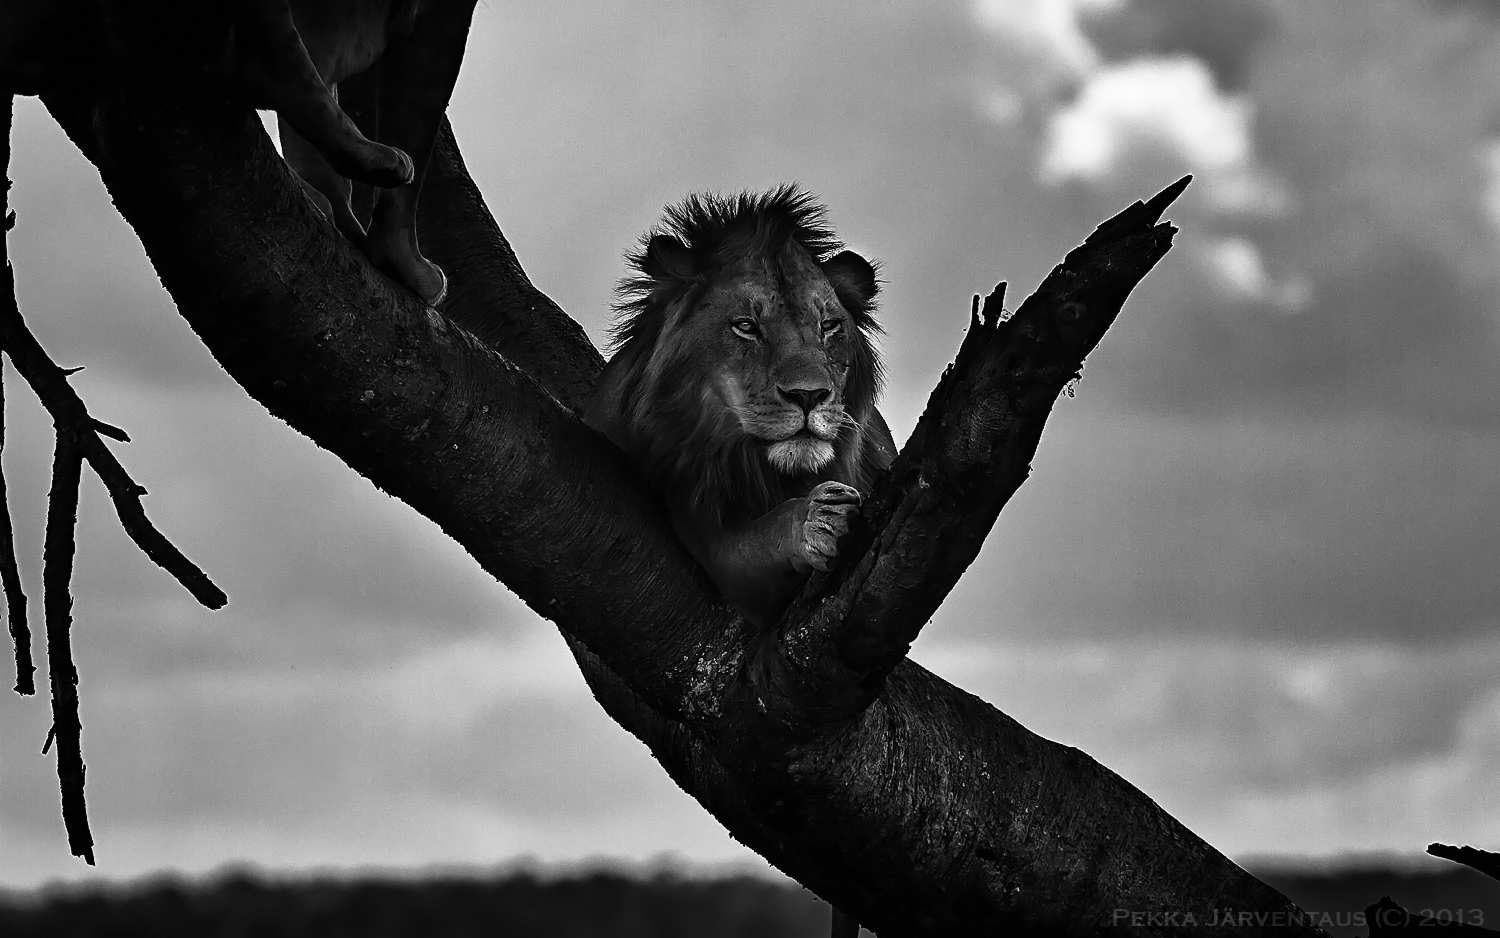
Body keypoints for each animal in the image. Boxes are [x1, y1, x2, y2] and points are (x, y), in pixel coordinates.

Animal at [582, 185, 888, 624]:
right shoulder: (706, 535)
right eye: (745, 326)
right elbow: (759, 539)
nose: (809, 395)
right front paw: (821, 519)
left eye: (829, 326)